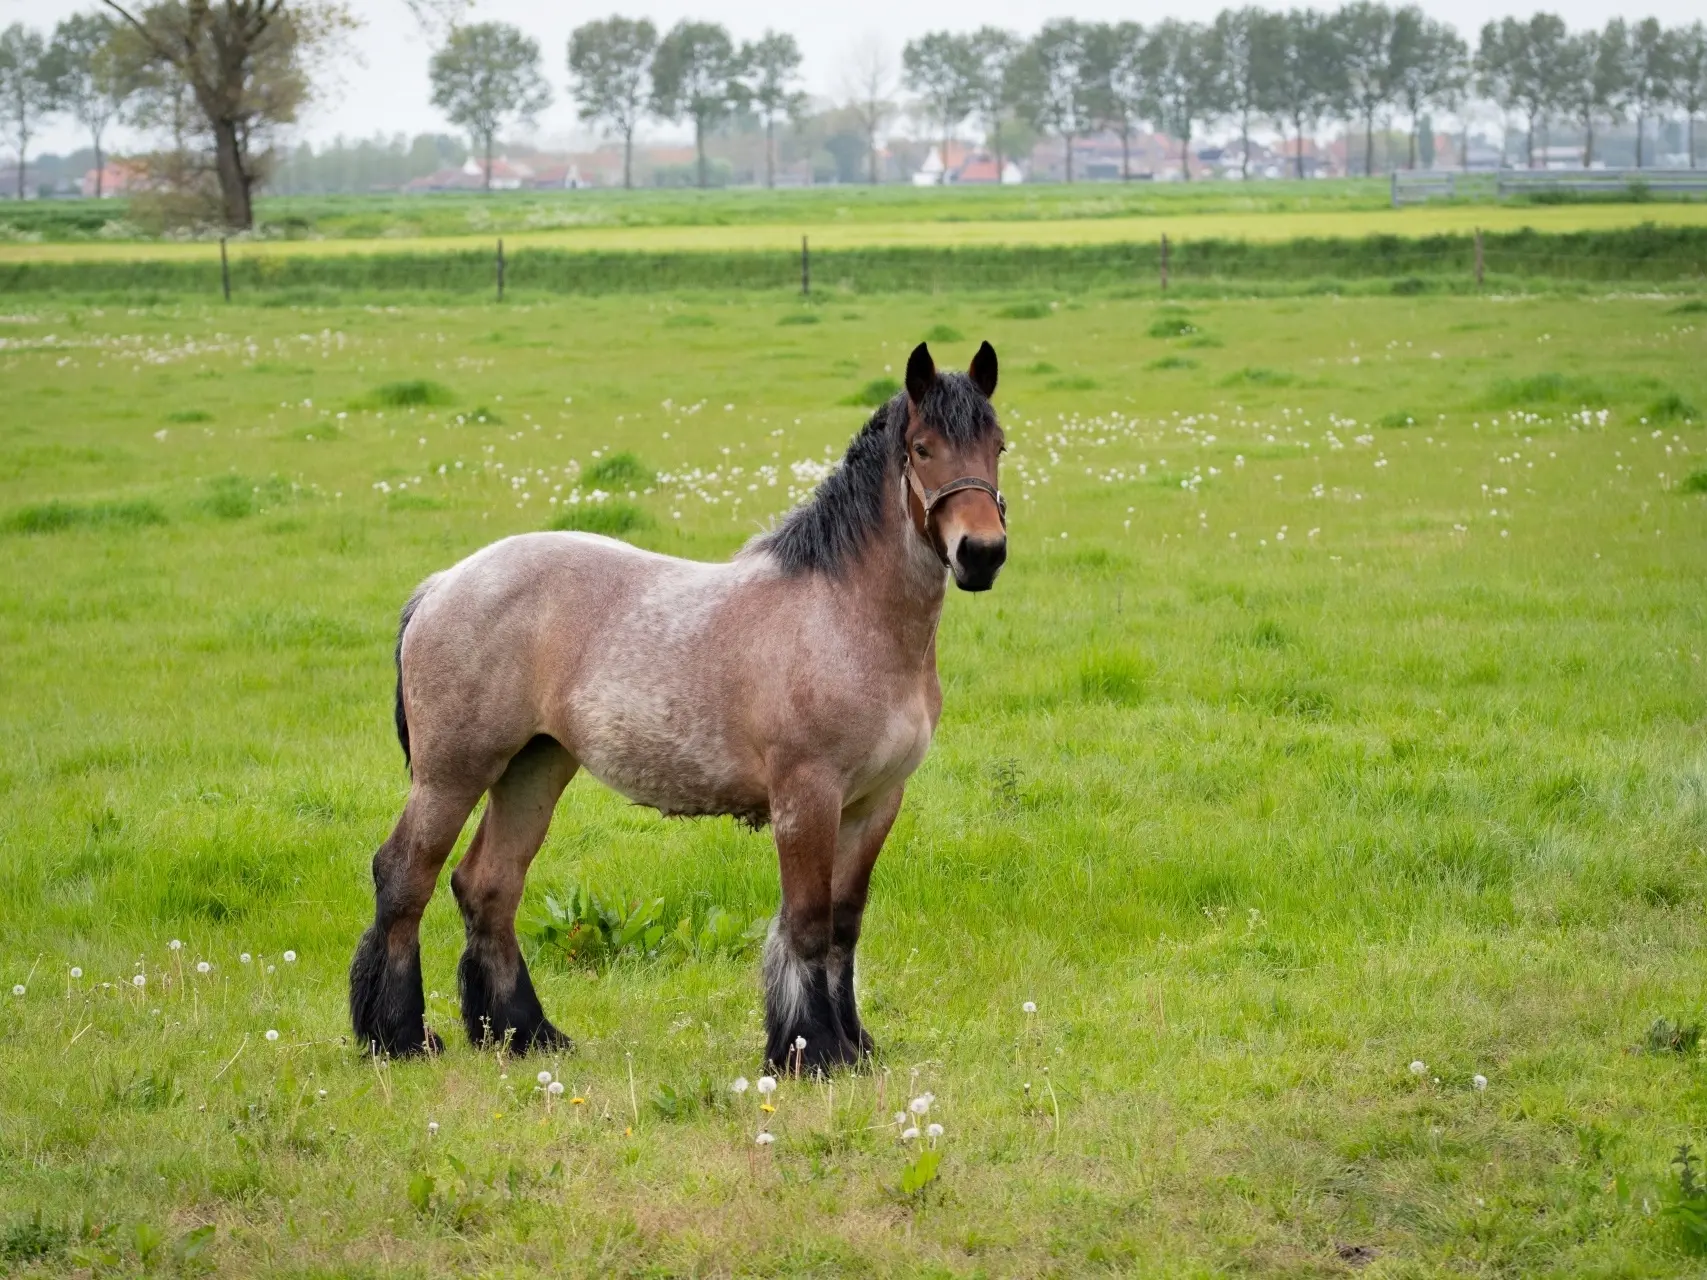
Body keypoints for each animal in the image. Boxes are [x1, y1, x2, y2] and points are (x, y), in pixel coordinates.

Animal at [351, 341, 1003, 1071]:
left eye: (998, 445)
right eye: (922, 449)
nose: (982, 554)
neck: (845, 615)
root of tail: (443, 584)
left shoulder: (875, 802)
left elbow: (844, 923)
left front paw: (854, 1045)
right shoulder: (807, 796)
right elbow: (806, 921)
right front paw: (811, 1050)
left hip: (533, 768)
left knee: (488, 887)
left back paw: (526, 1034)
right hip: (452, 774)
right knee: (404, 878)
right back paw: (399, 1037)